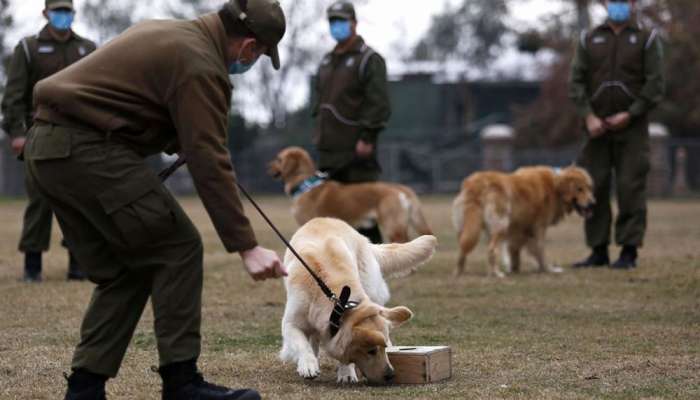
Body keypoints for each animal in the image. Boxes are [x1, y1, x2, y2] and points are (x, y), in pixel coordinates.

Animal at [452, 166, 592, 278]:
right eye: (580, 189)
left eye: (589, 188)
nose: (592, 203)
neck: (555, 186)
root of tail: (477, 184)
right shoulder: (538, 228)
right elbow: (540, 249)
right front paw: (548, 269)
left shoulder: (519, 231)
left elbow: (515, 250)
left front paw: (515, 268)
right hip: (501, 225)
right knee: (492, 249)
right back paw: (497, 273)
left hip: (467, 228)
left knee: (463, 248)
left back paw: (459, 272)